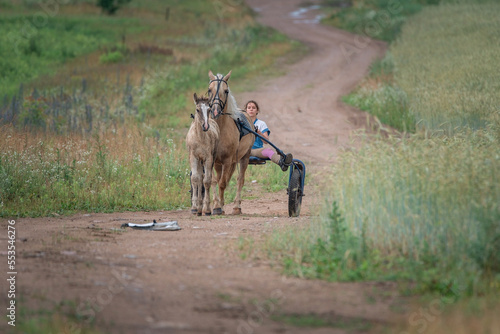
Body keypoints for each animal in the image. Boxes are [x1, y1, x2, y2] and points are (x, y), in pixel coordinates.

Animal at [207, 71, 254, 217]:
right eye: (209, 90)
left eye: (226, 91)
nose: (215, 111)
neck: (220, 130)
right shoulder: (212, 160)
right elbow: (214, 181)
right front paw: (217, 205)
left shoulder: (228, 160)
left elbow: (223, 183)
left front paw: (220, 207)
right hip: (221, 163)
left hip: (245, 156)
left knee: (240, 180)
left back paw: (236, 206)